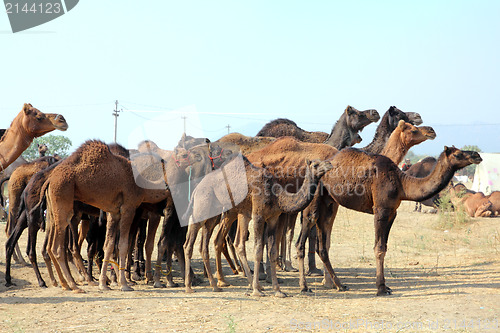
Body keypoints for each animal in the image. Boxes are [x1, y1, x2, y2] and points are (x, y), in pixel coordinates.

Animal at [298, 147, 482, 294]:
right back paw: (305, 287)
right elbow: (379, 248)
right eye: (458, 154)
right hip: (315, 196)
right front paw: (380, 288)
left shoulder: (392, 212)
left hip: (329, 202)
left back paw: (339, 285)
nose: (477, 155)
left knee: (323, 243)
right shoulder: (380, 210)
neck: (402, 183)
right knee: (306, 228)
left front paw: (385, 286)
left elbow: (385, 247)